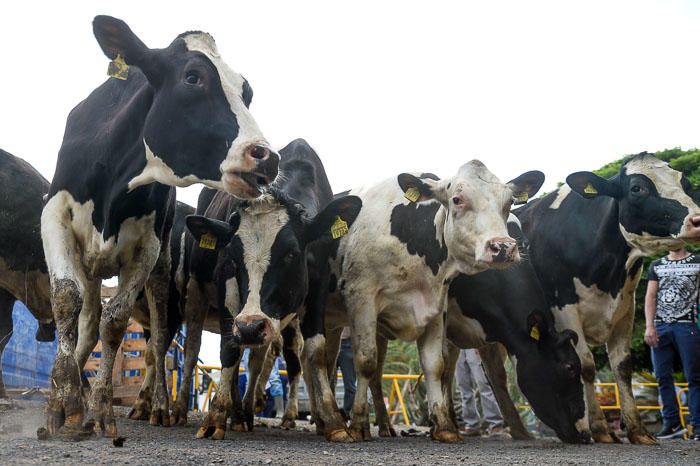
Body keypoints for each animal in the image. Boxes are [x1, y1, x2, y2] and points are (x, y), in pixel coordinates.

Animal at [41, 15, 278, 440]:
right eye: (193, 77)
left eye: (246, 91)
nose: (268, 158)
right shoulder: (54, 217)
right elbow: (68, 302)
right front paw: (64, 405)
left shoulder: (148, 249)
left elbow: (116, 322)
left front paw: (101, 409)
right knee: (87, 322)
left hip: (163, 270)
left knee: (159, 340)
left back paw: (160, 407)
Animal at [183, 138, 364, 440]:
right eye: (232, 255)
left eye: (291, 253)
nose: (250, 326)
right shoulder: (228, 292)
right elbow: (228, 350)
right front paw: (215, 417)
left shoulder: (316, 290)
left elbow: (315, 351)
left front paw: (333, 422)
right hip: (199, 294)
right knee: (193, 345)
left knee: (259, 358)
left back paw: (243, 413)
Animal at [326, 160, 544, 440]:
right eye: (457, 199)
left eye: (508, 203)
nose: (503, 247)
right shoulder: (361, 299)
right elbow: (365, 362)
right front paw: (359, 425)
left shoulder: (435, 306)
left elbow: (436, 366)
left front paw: (444, 427)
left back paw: (378, 424)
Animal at [516, 153, 700, 444]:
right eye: (637, 188)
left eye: (686, 182)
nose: (697, 220)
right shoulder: (563, 307)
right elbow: (586, 365)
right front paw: (600, 430)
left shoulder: (626, 306)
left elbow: (622, 366)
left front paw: (638, 431)